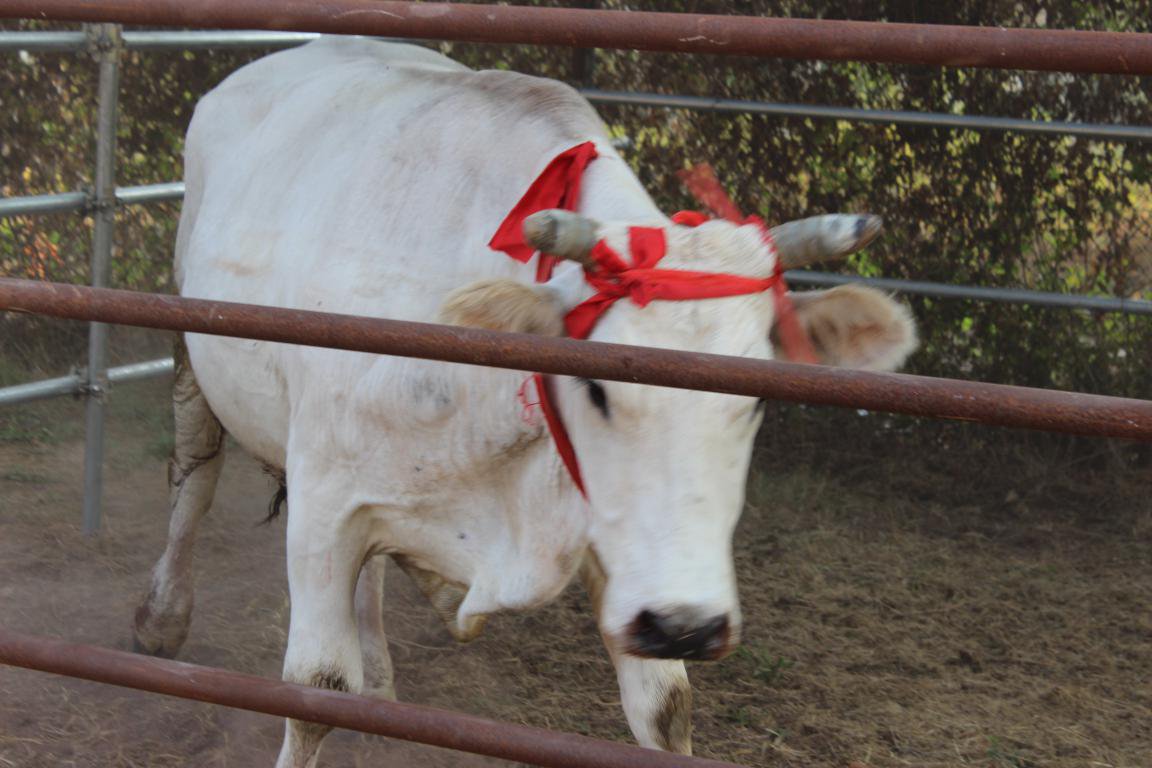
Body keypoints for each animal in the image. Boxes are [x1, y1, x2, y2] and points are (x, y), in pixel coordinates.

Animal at [131, 37, 917, 767]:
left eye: (755, 396)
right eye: (596, 385)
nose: (687, 626)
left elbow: (665, 709)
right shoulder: (324, 510)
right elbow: (315, 691)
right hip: (190, 349)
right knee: (194, 479)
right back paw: (160, 618)